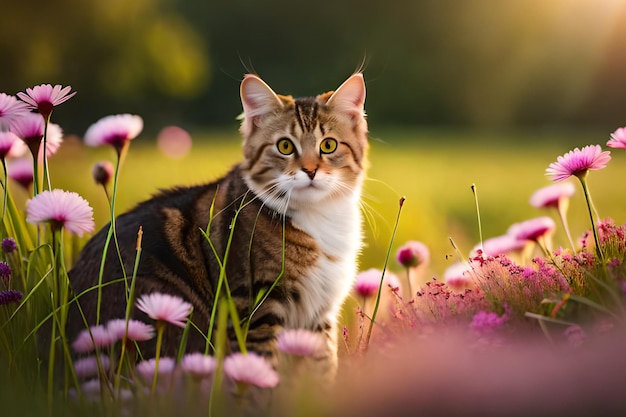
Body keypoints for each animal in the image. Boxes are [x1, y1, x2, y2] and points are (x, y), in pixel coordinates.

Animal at [67, 72, 370, 380]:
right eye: (285, 146)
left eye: (328, 145)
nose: (310, 170)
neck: (319, 217)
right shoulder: (253, 305)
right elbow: (262, 373)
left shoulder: (319, 315)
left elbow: (321, 370)